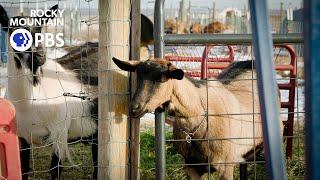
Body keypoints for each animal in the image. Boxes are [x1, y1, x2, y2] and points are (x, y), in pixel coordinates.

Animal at [113, 58, 282, 180]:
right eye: (138, 76)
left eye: (161, 79)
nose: (134, 108)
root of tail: (250, 62)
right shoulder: (191, 165)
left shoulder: (225, 166)